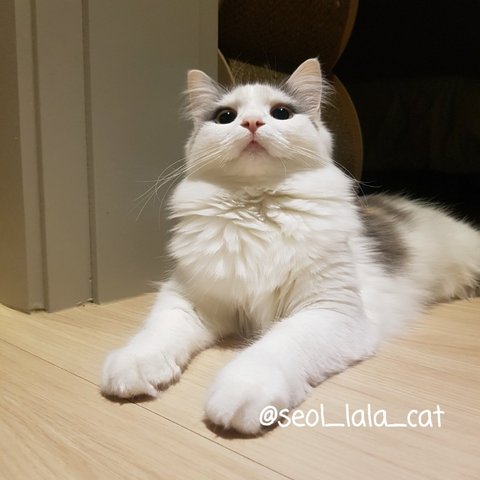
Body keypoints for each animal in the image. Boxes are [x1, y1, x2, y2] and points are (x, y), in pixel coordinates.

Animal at [101, 58, 480, 434]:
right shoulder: (189, 297)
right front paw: (133, 364)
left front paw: (243, 388)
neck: (258, 211)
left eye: (280, 113)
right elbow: (157, 331)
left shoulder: (328, 311)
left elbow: (277, 344)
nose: (252, 123)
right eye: (226, 117)